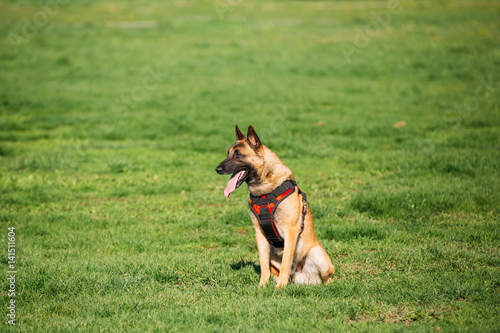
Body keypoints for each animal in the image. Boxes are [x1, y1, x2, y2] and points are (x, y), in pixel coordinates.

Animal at [214, 126, 334, 286]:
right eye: (228, 154)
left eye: (238, 155)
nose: (217, 169)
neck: (265, 190)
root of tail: (298, 275)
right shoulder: (259, 234)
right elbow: (264, 265)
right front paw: (262, 286)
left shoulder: (291, 231)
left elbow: (286, 263)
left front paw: (280, 288)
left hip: (318, 254)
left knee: (328, 278)